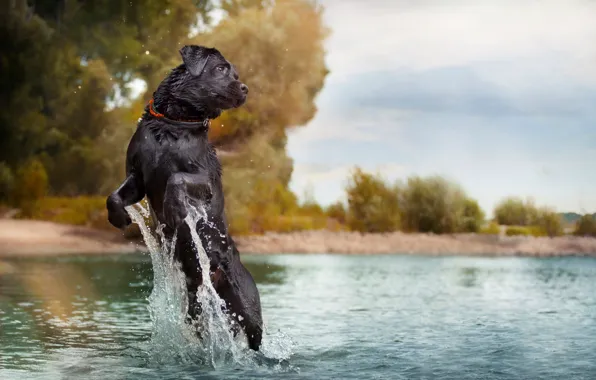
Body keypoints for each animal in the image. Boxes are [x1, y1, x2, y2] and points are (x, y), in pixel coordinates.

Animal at [106, 44, 264, 350]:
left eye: (235, 74)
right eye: (221, 69)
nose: (245, 88)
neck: (174, 124)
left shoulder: (205, 178)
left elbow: (176, 179)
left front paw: (173, 210)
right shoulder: (138, 177)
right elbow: (114, 196)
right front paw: (118, 217)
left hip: (248, 307)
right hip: (196, 304)